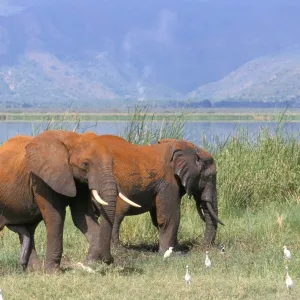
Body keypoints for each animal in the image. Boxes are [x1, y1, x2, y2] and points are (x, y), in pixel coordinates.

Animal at [0, 130, 138, 270]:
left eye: (113, 163)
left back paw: (35, 270)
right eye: (85, 164)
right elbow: (55, 217)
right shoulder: (41, 180)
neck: (73, 139)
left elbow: (81, 216)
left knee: (28, 230)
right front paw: (53, 272)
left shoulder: (79, 182)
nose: (110, 260)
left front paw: (91, 263)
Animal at [91, 135, 223, 252]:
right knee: (118, 214)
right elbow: (170, 217)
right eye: (210, 177)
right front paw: (170, 253)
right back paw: (118, 249)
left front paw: (176, 249)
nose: (203, 247)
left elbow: (157, 218)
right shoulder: (168, 181)